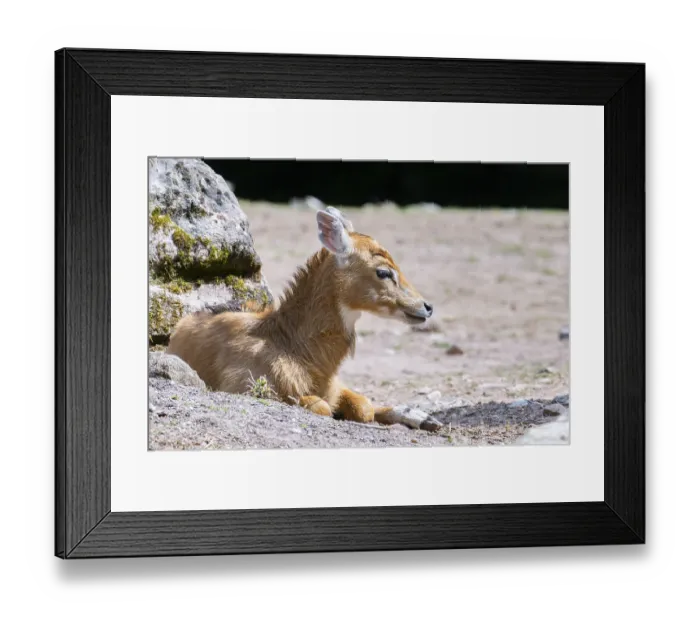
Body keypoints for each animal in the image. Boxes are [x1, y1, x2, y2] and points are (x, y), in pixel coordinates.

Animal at [167, 207, 440, 430]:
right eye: (383, 271)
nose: (427, 307)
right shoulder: (244, 386)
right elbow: (322, 406)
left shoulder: (335, 386)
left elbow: (364, 407)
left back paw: (428, 419)